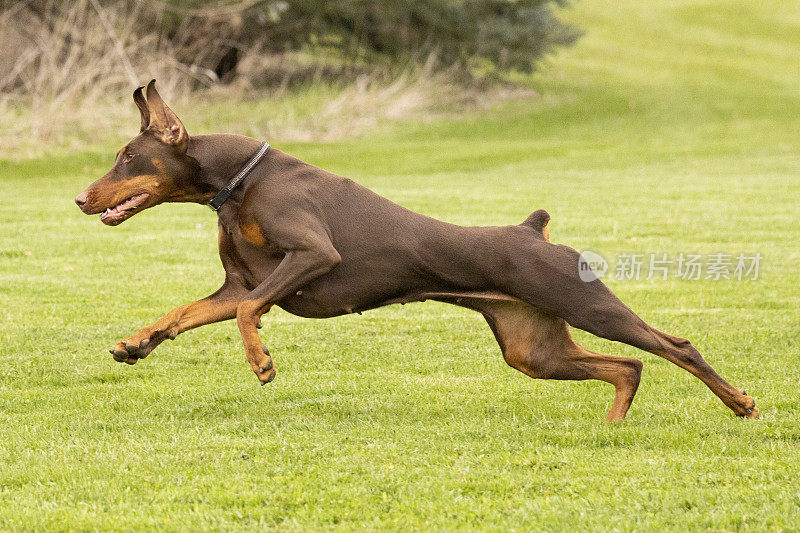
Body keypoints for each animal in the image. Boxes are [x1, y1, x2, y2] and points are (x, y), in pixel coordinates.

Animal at [73, 81, 756, 420]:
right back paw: (613, 428)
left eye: (127, 157)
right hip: (530, 347)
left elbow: (246, 314)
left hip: (587, 304)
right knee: (628, 367)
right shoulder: (239, 283)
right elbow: (185, 312)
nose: (80, 198)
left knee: (675, 347)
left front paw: (262, 362)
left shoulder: (312, 257)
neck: (239, 183)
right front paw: (136, 343)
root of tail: (533, 231)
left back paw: (741, 403)